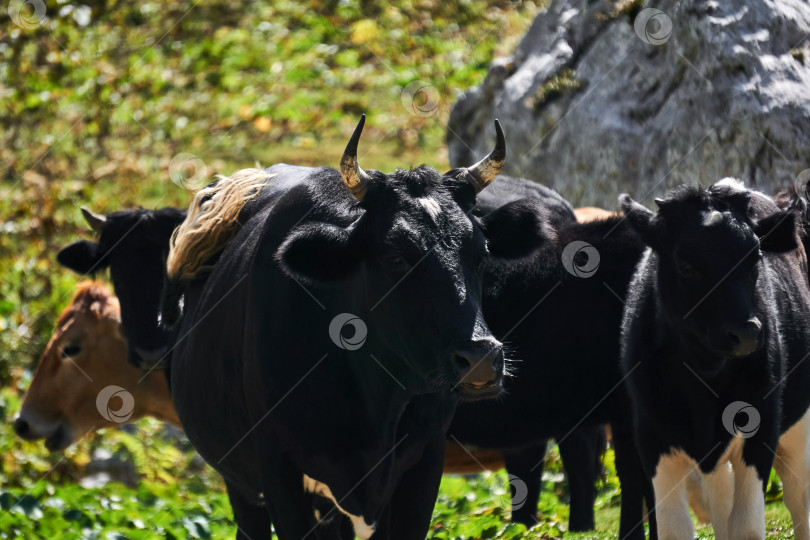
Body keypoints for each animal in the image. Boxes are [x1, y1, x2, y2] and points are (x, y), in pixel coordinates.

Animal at [166, 118, 536, 540]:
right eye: (395, 257)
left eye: (482, 253)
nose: (480, 359)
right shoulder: (276, 466)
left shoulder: (426, 459)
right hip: (240, 482)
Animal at [620, 179, 810, 536]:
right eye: (686, 267)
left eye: (755, 259)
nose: (747, 333)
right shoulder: (650, 433)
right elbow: (674, 528)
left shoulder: (762, 427)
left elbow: (746, 526)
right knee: (721, 504)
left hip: (799, 426)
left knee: (799, 499)